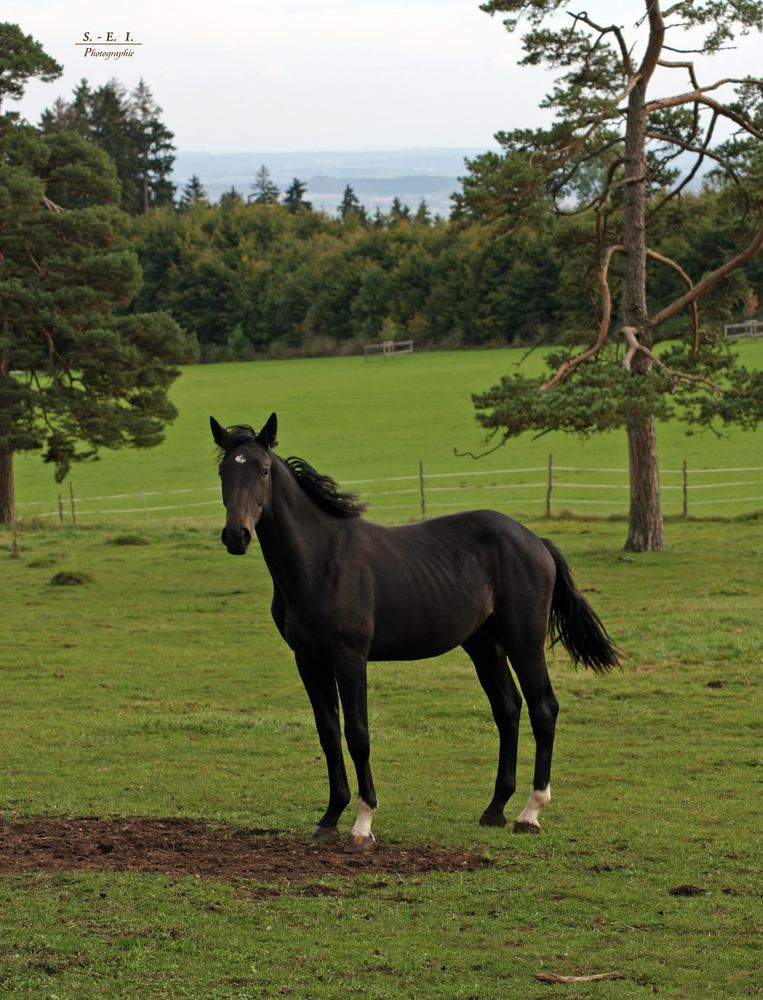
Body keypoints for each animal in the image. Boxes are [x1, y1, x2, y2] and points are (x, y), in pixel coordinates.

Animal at [210, 412, 620, 852]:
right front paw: (329, 818)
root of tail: (535, 541)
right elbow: (328, 733)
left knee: (544, 708)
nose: (236, 536)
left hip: (524, 643)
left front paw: (362, 824)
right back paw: (494, 810)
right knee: (507, 710)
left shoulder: (350, 657)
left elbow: (357, 734)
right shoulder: (308, 659)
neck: (319, 559)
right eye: (223, 471)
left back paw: (530, 814)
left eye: (264, 471)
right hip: (484, 645)